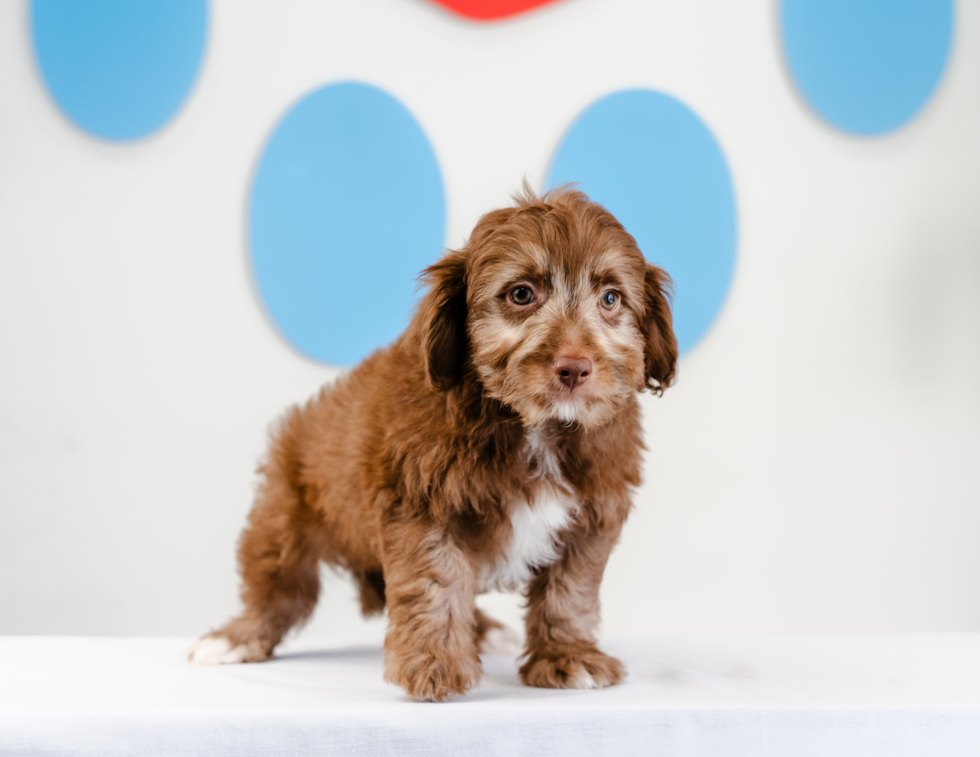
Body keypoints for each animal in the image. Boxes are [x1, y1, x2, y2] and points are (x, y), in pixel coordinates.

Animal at [188, 186, 676, 700]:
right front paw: (435, 665)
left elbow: (570, 591)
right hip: (285, 512)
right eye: (521, 294)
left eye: (610, 299)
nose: (575, 368)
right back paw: (235, 637)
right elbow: (436, 581)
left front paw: (567, 656)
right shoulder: (421, 500)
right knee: (279, 586)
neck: (535, 425)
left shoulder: (591, 514)